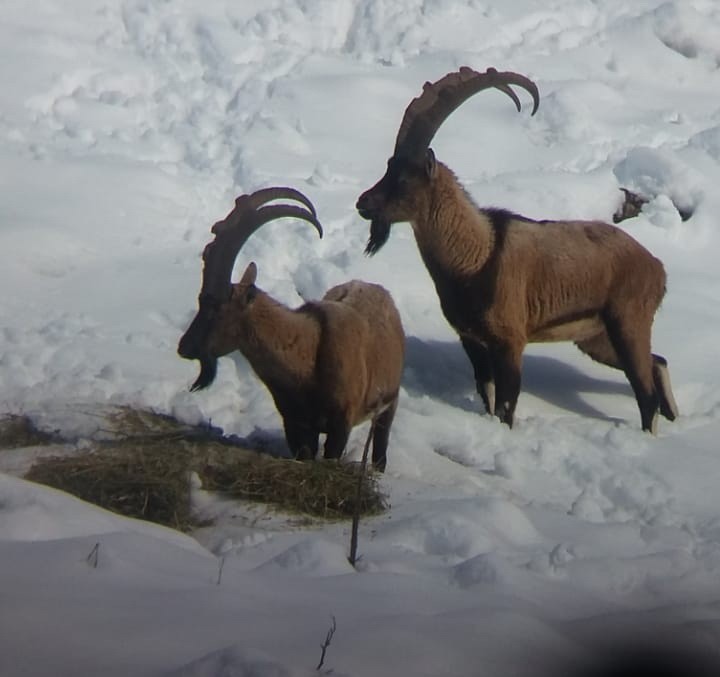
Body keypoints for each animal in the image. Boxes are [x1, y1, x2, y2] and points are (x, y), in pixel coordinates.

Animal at [177, 186, 404, 470]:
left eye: (216, 307)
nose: (184, 347)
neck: (307, 355)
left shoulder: (341, 424)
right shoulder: (296, 425)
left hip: (389, 403)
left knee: (381, 448)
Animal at [358, 66, 676, 430]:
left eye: (404, 179)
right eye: (387, 168)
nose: (362, 203)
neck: (475, 257)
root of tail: (657, 267)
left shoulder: (509, 341)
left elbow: (506, 404)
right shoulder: (472, 340)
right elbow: (488, 395)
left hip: (628, 322)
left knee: (645, 392)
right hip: (595, 337)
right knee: (657, 362)